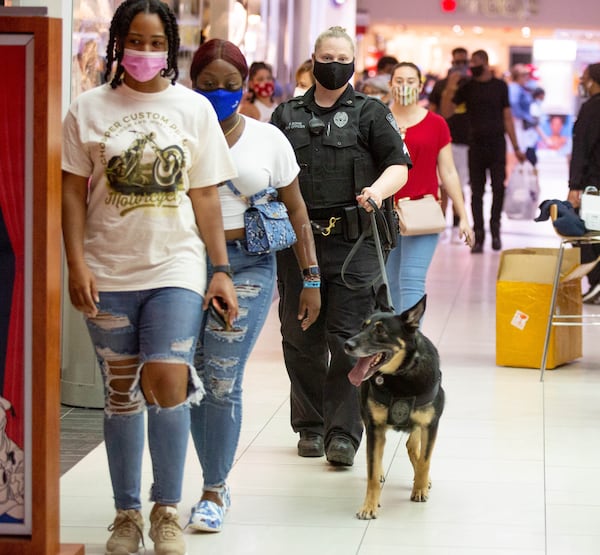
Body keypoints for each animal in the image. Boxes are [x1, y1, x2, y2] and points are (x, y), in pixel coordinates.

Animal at [344, 296, 442, 520]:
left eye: (380, 331)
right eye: (362, 326)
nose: (347, 344)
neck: (401, 376)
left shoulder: (430, 424)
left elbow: (425, 460)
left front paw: (420, 488)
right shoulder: (374, 427)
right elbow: (372, 469)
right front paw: (369, 506)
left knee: (412, 445)